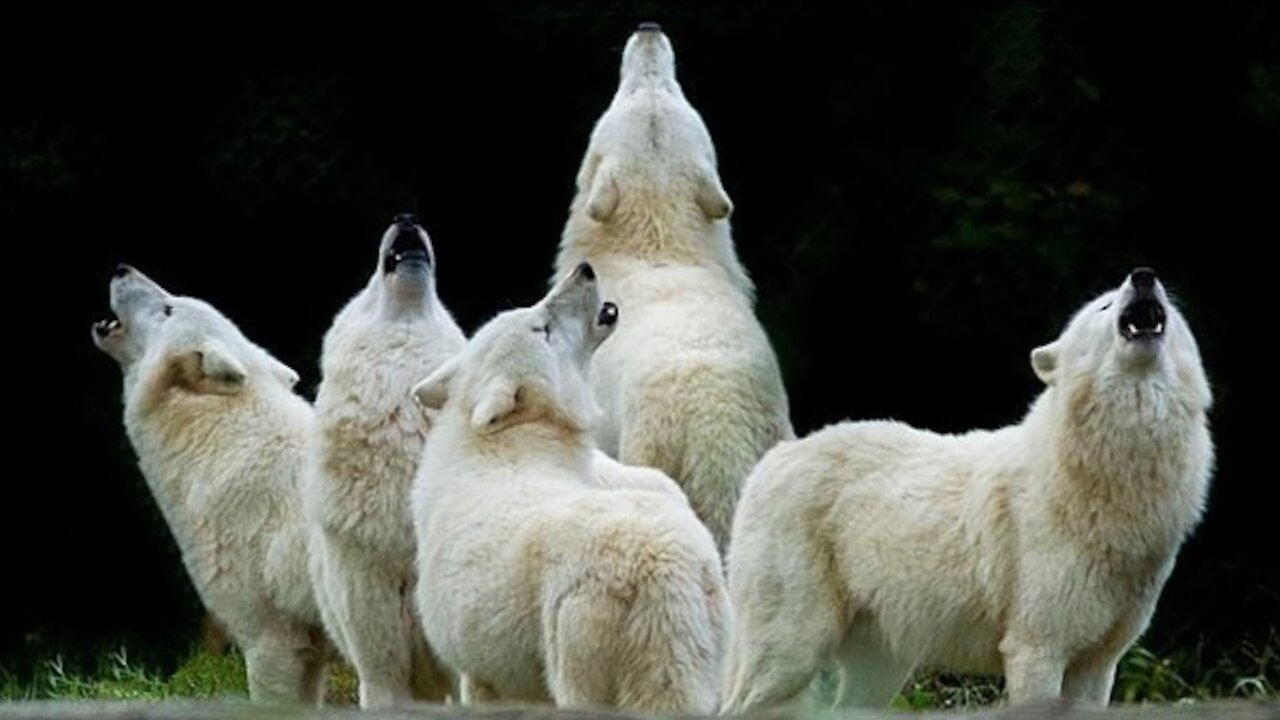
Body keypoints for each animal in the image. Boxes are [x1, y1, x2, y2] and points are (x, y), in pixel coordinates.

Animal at [409, 260, 732, 707]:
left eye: (534, 313)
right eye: (542, 327)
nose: (585, 270)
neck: (516, 439)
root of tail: (664, 573)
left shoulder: (479, 670)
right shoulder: (483, 671)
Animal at [558, 23, 793, 548]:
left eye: (668, 89)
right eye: (637, 89)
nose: (649, 30)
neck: (657, 243)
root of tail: (716, 429)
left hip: (648, 438)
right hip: (774, 432)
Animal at [727, 267, 1213, 707]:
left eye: (1168, 306)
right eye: (1105, 306)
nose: (1144, 276)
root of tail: (775, 458)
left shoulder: (1099, 665)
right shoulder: (1035, 651)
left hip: (877, 673)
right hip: (790, 656)